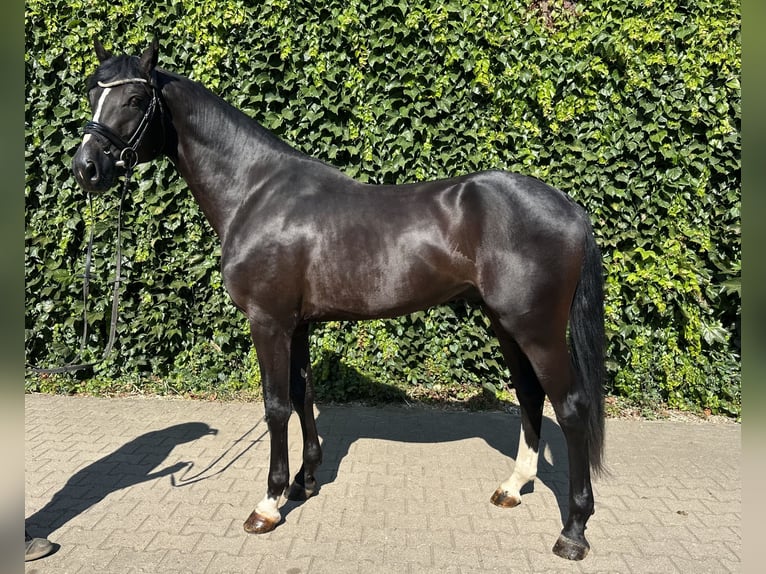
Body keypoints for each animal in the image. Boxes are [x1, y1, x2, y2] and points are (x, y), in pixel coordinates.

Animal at [71, 38, 606, 561]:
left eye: (135, 99)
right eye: (92, 92)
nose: (86, 168)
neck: (255, 192)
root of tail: (569, 207)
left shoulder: (268, 322)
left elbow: (275, 406)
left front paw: (269, 503)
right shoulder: (298, 324)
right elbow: (303, 394)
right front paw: (305, 482)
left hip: (536, 330)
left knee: (571, 407)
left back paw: (574, 531)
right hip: (505, 323)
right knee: (530, 395)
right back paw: (513, 487)